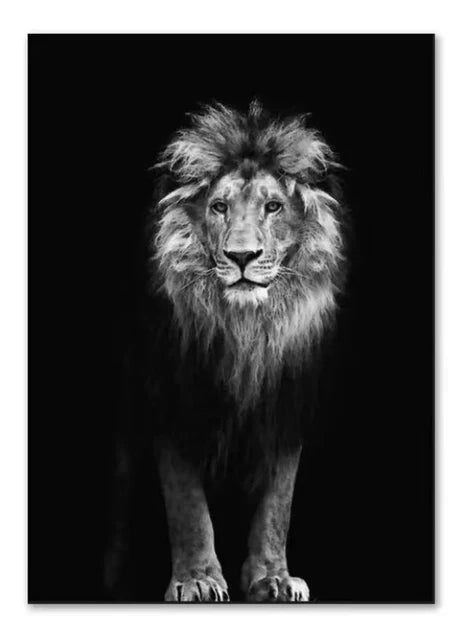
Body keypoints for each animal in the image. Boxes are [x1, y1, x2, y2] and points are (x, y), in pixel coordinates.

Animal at [126, 101, 345, 602]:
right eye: (220, 207)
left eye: (273, 206)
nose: (242, 256)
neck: (246, 331)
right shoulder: (173, 401)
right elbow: (187, 504)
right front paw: (197, 579)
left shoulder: (285, 408)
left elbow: (278, 505)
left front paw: (274, 578)